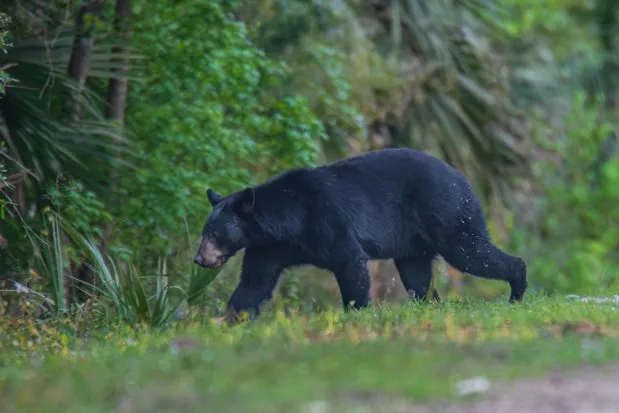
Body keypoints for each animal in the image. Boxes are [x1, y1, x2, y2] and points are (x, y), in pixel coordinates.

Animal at [194, 146, 528, 320]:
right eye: (205, 231)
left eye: (215, 234)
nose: (199, 259)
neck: (287, 223)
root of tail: (463, 178)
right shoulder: (267, 248)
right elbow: (255, 282)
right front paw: (229, 318)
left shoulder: (326, 221)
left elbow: (350, 263)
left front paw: (356, 312)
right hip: (412, 242)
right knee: (418, 274)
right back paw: (429, 305)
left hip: (445, 211)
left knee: (470, 252)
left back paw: (517, 289)